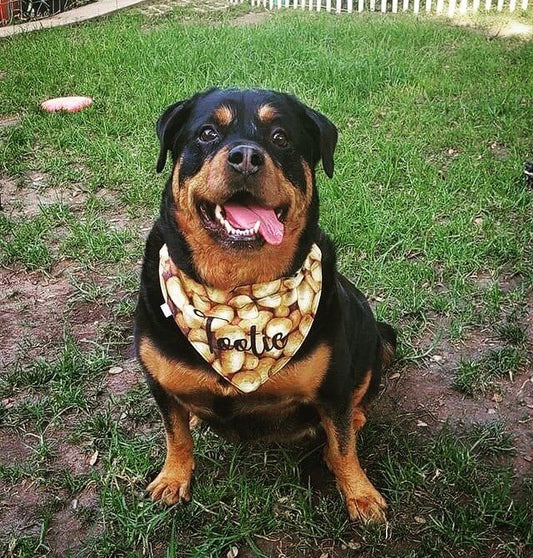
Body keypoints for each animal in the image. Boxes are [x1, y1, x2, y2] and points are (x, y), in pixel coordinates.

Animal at [135, 87, 396, 524]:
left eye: (280, 138)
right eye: (207, 133)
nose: (245, 156)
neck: (238, 289)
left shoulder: (334, 386)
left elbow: (342, 445)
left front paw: (360, 494)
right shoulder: (160, 383)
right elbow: (176, 434)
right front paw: (173, 478)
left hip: (372, 337)